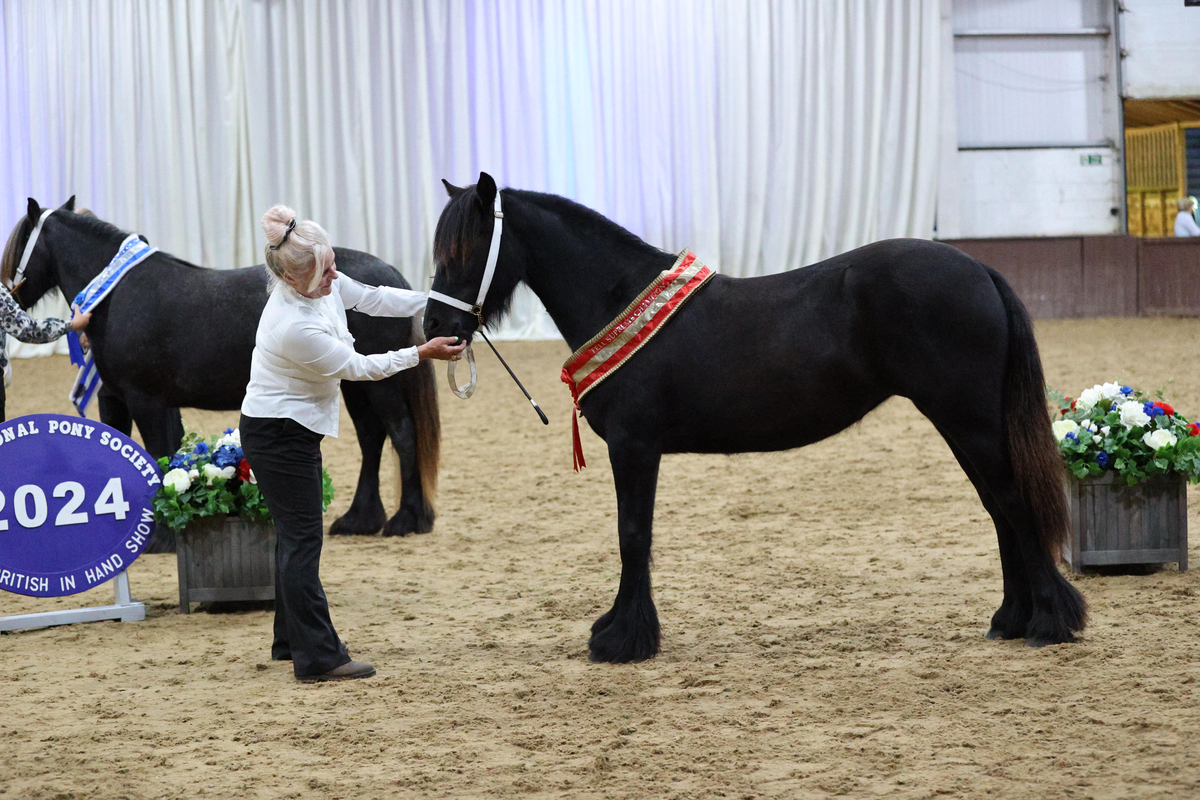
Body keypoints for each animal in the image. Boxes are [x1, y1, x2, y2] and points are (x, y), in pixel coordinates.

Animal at [2, 198, 441, 548]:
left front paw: (162, 539)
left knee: (401, 434)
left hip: (379, 385)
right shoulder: (128, 400)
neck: (116, 294)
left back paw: (407, 519)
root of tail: (391, 276)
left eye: (16, 243)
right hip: (354, 384)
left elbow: (157, 457)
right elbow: (156, 454)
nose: (9, 294)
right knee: (372, 439)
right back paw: (359, 519)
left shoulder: (146, 400)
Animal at [423, 173, 1088, 663]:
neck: (619, 300)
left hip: (967, 419)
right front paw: (619, 630)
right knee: (999, 507)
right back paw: (1012, 619)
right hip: (962, 423)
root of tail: (979, 270)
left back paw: (1050, 621)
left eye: (466, 249)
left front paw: (623, 640)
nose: (437, 329)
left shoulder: (634, 447)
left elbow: (632, 534)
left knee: (1012, 501)